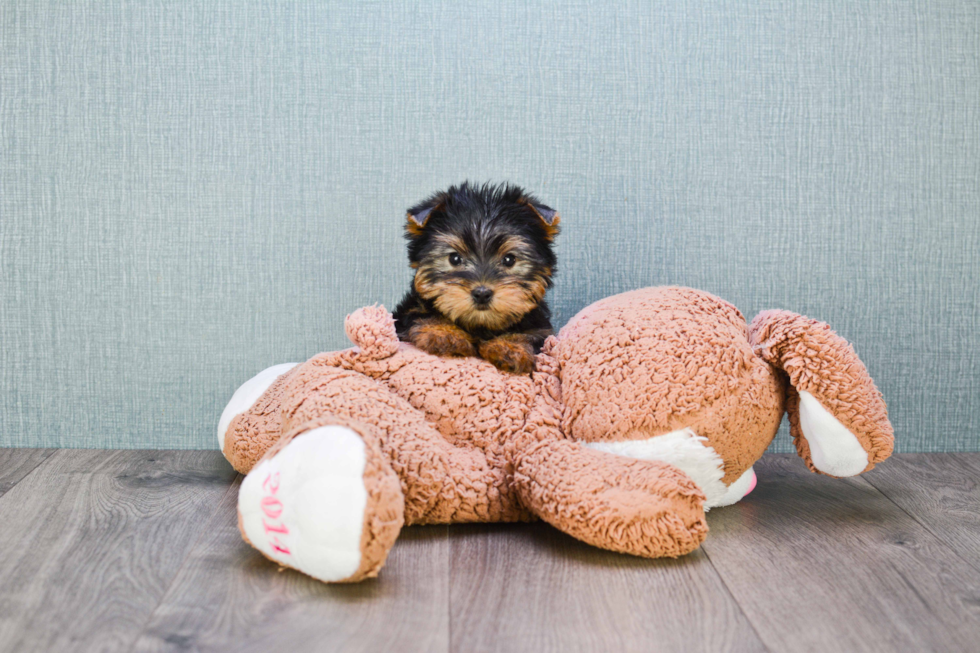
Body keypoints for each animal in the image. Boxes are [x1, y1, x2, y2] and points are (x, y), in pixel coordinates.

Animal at [390, 181, 560, 374]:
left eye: (509, 259)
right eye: (454, 258)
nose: (482, 293)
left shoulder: (541, 328)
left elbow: (530, 335)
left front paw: (511, 347)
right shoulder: (410, 312)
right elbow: (423, 314)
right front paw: (444, 333)